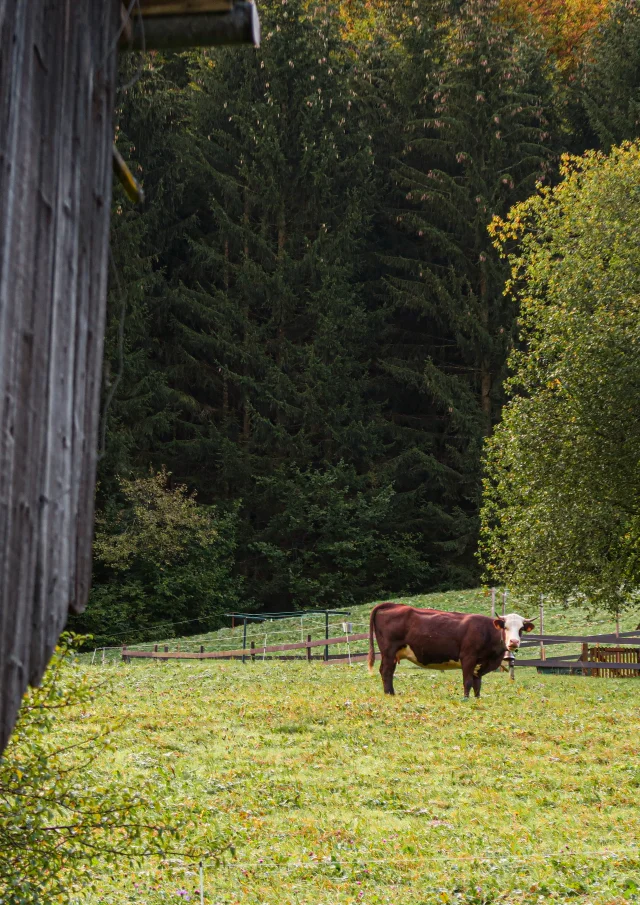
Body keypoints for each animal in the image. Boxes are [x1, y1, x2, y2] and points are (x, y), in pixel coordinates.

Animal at [368, 604, 532, 696]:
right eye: (505, 627)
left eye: (521, 629)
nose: (514, 642)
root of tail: (393, 605)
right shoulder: (468, 658)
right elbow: (468, 682)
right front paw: (465, 699)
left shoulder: (479, 664)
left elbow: (477, 683)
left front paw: (477, 698)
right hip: (388, 651)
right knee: (386, 671)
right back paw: (389, 694)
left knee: (388, 672)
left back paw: (392, 692)